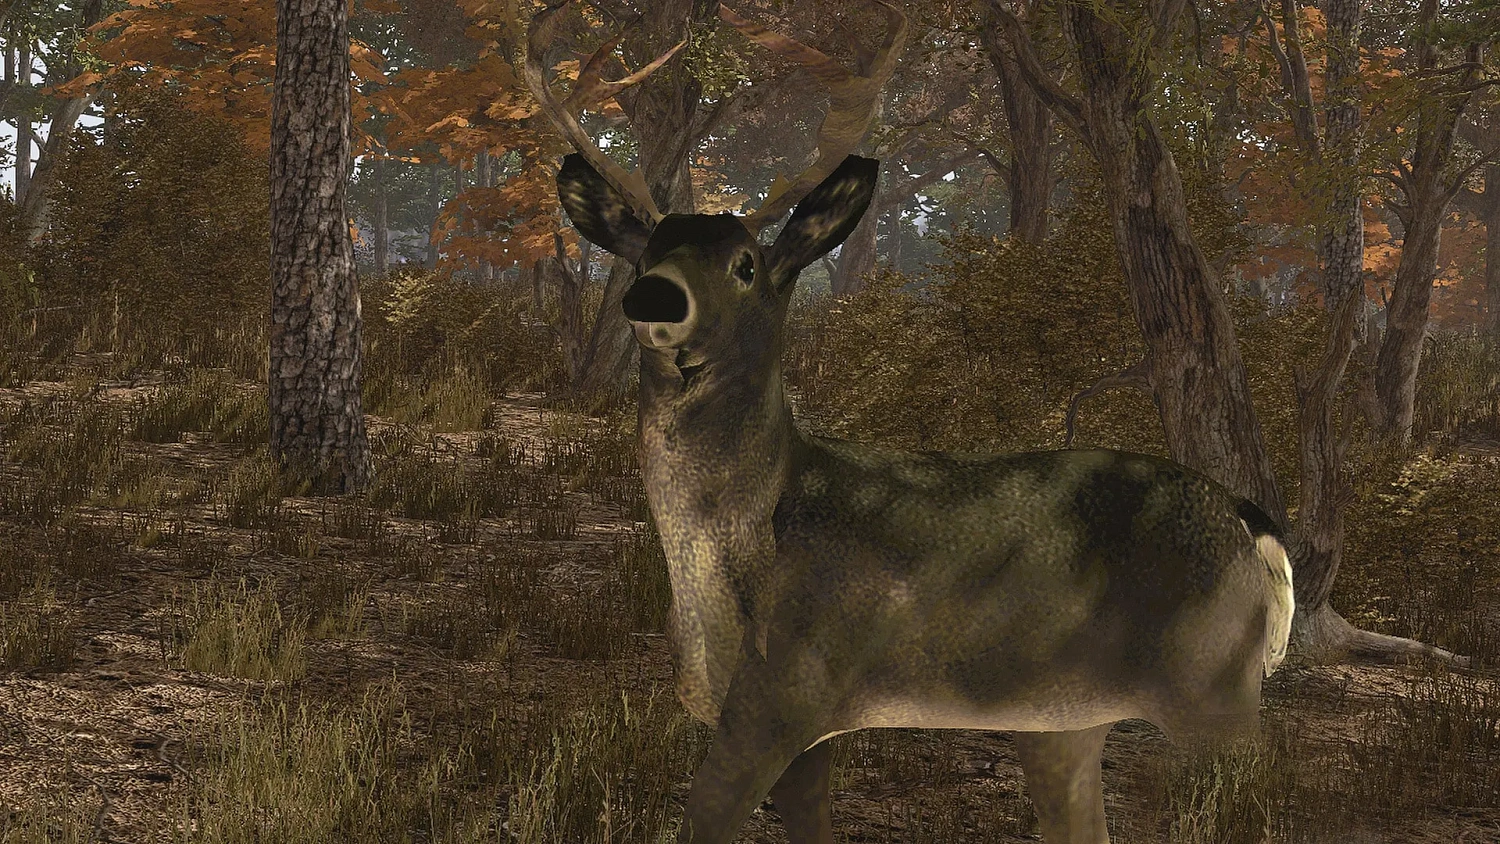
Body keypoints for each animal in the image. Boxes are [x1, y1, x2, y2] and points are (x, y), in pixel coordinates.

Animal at [525, 2, 1296, 843]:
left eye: (746, 263)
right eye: (644, 256)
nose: (656, 296)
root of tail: (1249, 519)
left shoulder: (790, 688)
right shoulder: (801, 724)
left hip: (1211, 687)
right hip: (1068, 718)